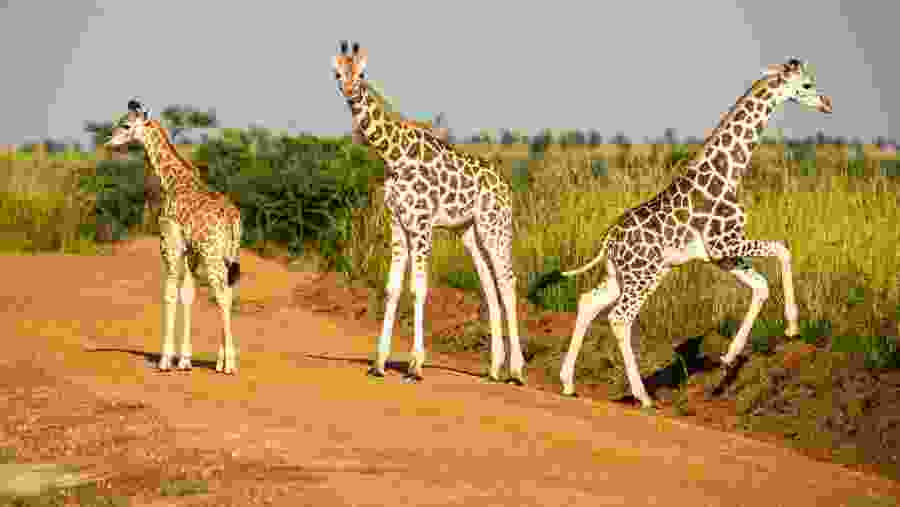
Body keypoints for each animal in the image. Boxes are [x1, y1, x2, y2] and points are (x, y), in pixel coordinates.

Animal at [105, 99, 242, 374]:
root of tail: (233, 219)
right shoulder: (190, 251)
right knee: (229, 295)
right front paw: (185, 361)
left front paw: (165, 361)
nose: (108, 142)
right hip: (228, 255)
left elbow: (169, 294)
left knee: (222, 296)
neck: (171, 181)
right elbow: (187, 294)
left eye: (125, 125)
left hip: (212, 254)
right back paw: (220, 362)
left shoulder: (169, 243)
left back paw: (230, 365)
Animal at [332, 40, 525, 384]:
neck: (394, 155)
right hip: (470, 232)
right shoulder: (397, 223)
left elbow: (418, 289)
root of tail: (506, 186)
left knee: (507, 281)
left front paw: (415, 365)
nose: (351, 91)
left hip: (495, 226)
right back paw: (494, 368)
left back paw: (516, 370)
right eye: (337, 74)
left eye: (362, 73)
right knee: (490, 286)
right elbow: (393, 288)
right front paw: (378, 363)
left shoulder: (422, 224)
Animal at [527, 58, 833, 408]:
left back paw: (567, 382)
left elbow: (760, 285)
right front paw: (792, 327)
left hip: (621, 275)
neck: (730, 174)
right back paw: (643, 396)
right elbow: (783, 249)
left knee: (588, 302)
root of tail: (608, 241)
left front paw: (730, 356)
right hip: (645, 274)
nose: (827, 104)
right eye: (807, 84)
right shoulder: (726, 243)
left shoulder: (719, 255)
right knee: (620, 318)